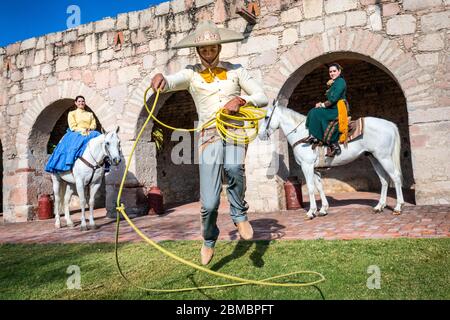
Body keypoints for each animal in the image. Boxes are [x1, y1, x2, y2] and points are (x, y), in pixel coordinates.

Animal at [258, 103, 406, 220]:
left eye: (266, 117)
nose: (260, 135)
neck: (303, 136)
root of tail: (389, 125)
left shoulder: (307, 166)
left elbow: (311, 188)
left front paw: (311, 212)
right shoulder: (315, 168)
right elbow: (319, 187)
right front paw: (323, 209)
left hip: (384, 157)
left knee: (395, 177)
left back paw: (398, 207)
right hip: (375, 158)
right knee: (384, 180)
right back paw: (379, 206)